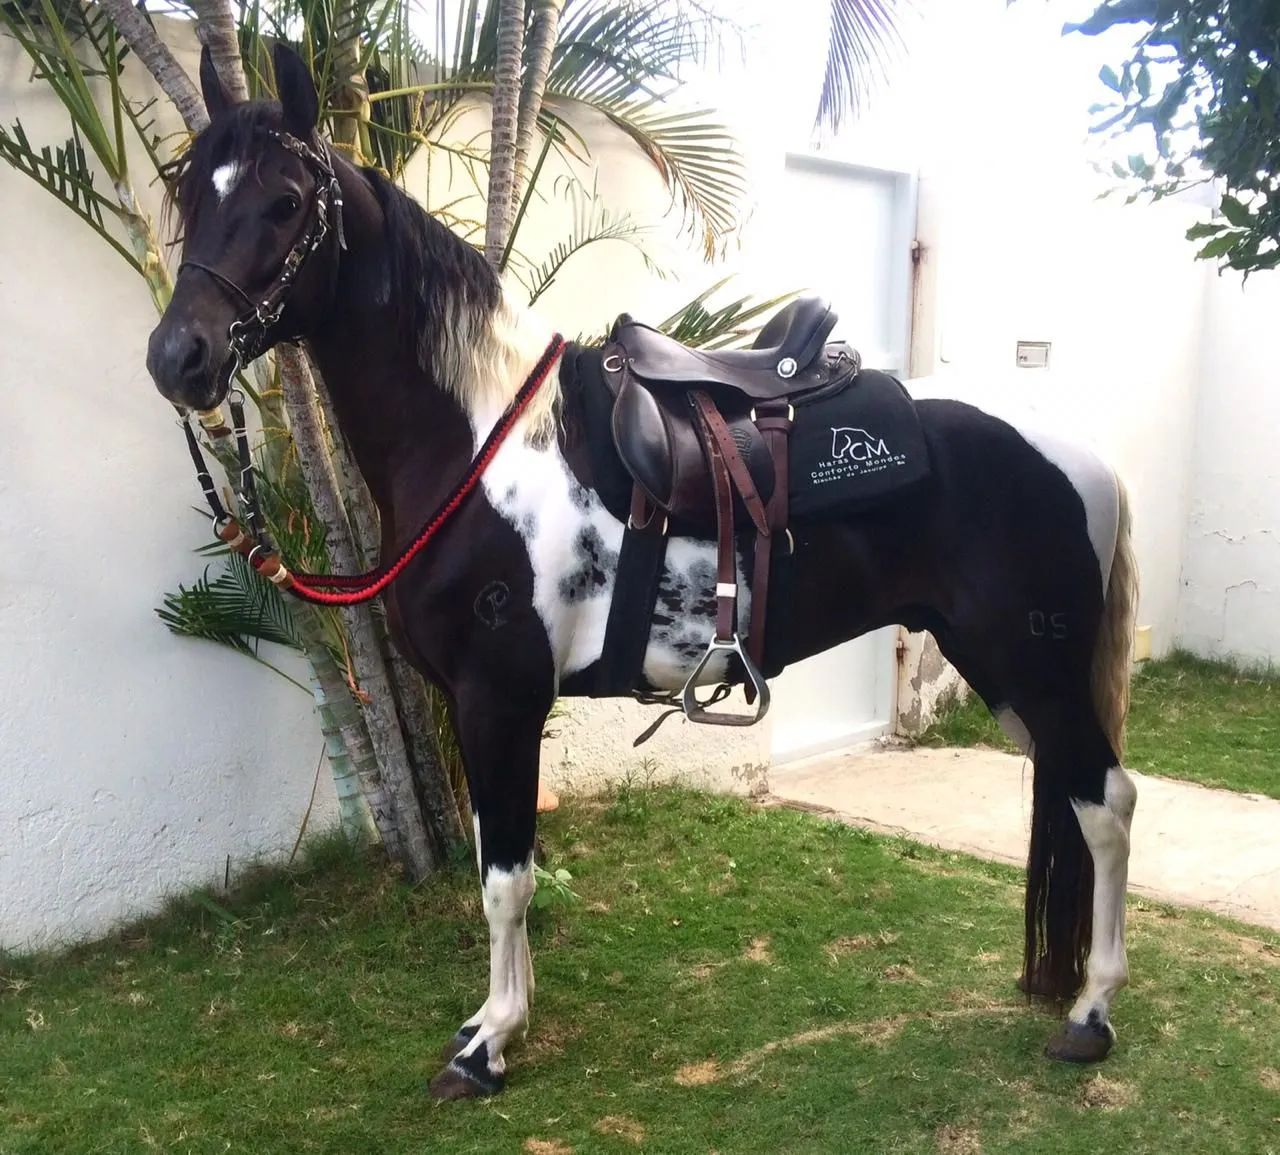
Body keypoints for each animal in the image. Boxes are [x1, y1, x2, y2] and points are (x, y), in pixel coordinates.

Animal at [145, 43, 1140, 1099]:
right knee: (1076, 798)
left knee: (1107, 805)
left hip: (1032, 667)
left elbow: (505, 881)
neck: (477, 445)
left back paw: (1092, 1012)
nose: (179, 356)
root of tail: (1082, 455)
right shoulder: (486, 707)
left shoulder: (499, 697)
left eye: (288, 201)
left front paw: (488, 1046)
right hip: (1011, 674)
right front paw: (499, 1019)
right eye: (189, 190)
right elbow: (506, 865)